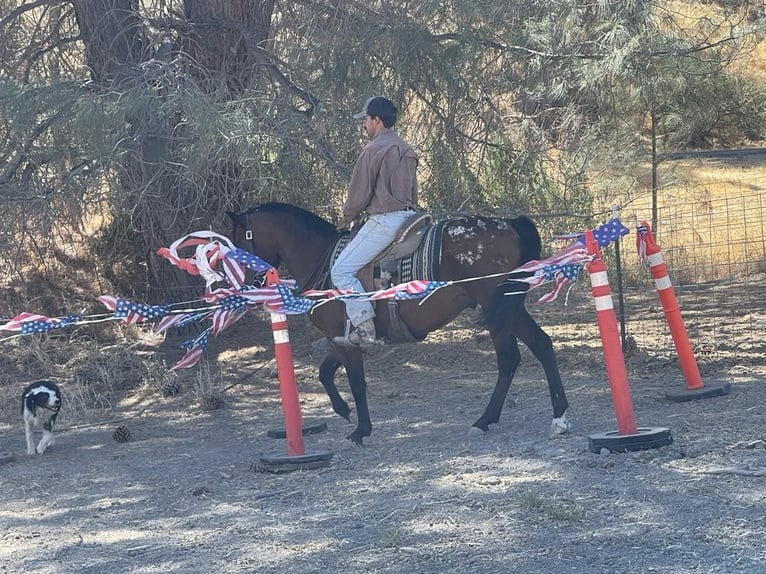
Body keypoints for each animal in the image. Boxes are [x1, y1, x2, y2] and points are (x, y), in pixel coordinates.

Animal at [228, 205, 568, 448]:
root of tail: (510, 224)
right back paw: (558, 417)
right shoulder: (343, 338)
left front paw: (361, 429)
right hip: (510, 308)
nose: (248, 283)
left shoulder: (346, 340)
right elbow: (325, 373)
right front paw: (344, 411)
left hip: (496, 306)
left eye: (237, 241)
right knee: (542, 345)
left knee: (510, 358)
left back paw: (484, 420)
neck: (323, 260)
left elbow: (356, 383)